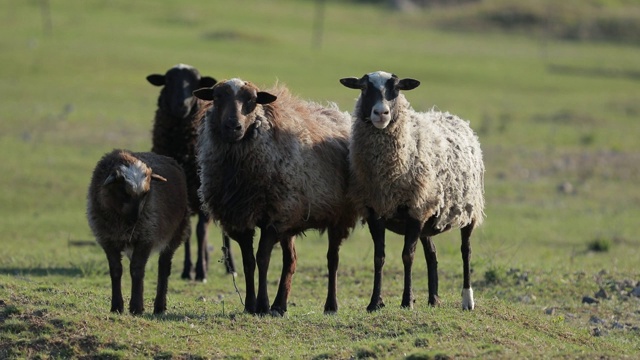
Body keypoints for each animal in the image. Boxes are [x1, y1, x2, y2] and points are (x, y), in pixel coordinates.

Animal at [86, 149, 190, 316]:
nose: (135, 219)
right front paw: (116, 307)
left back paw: (159, 307)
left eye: (146, 193)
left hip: (176, 233)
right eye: (124, 191)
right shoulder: (108, 240)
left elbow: (136, 270)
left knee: (164, 268)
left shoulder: (146, 237)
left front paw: (136, 307)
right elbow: (116, 270)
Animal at [146, 63, 236, 282]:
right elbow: (187, 233)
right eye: (168, 81)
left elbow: (200, 232)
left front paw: (201, 272)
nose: (182, 105)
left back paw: (229, 266)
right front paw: (188, 270)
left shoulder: (201, 189)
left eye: (195, 83)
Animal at [192, 79, 358, 316]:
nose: (233, 127)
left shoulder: (273, 217)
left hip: (337, 215)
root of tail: (336, 113)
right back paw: (280, 305)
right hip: (291, 217)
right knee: (291, 261)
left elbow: (263, 259)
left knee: (332, 259)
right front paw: (250, 305)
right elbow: (248, 261)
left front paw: (261, 305)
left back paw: (330, 306)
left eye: (252, 100)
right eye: (216, 97)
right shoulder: (241, 218)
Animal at [340, 71, 484, 312]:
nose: (381, 113)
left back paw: (467, 300)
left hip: (469, 209)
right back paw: (433, 298)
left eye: (397, 89)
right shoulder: (375, 210)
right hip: (430, 214)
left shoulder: (415, 210)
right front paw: (374, 302)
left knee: (466, 251)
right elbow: (379, 257)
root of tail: (454, 117)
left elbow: (408, 256)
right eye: (364, 88)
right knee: (432, 253)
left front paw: (407, 301)